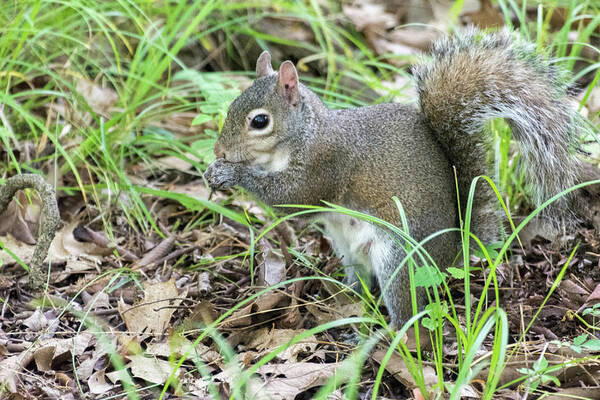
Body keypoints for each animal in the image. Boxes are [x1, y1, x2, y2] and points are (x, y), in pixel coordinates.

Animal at [204, 29, 588, 326]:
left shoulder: (324, 164)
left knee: (407, 310)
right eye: (231, 105)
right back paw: (344, 296)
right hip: (349, 250)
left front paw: (232, 173)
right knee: (362, 281)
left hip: (401, 259)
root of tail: (453, 252)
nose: (219, 150)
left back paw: (383, 334)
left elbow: (293, 201)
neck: (304, 134)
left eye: (259, 121)